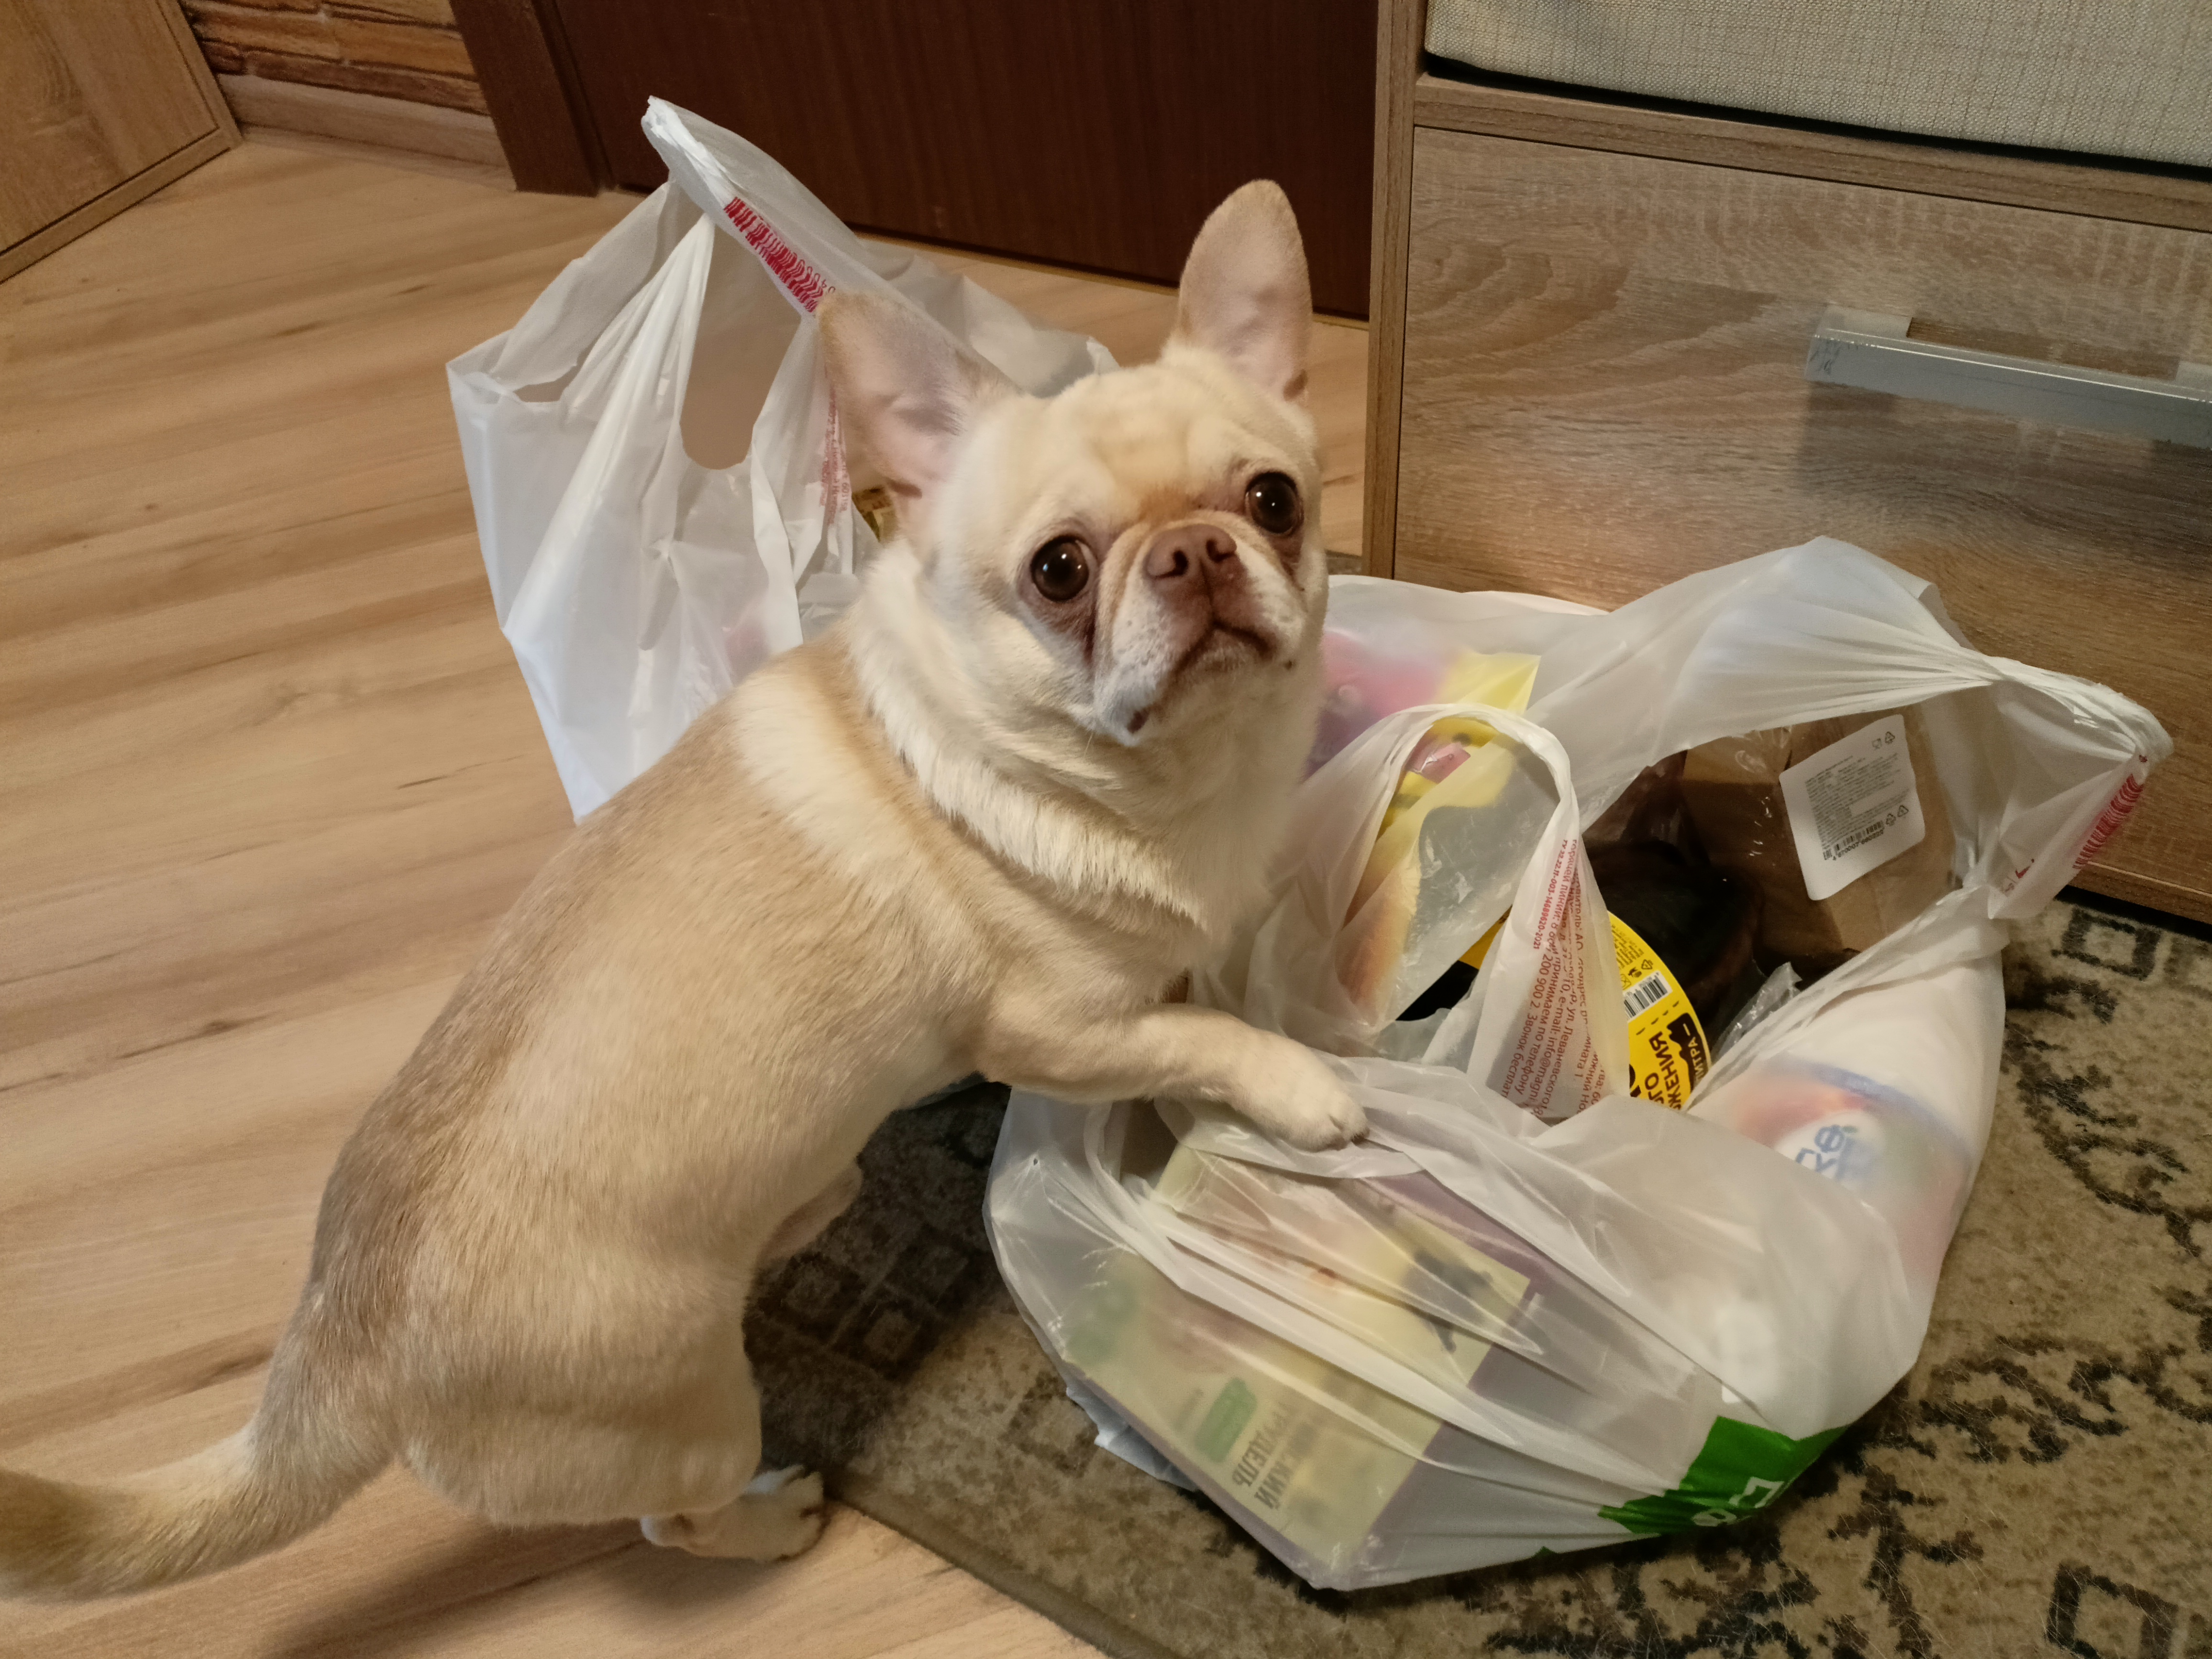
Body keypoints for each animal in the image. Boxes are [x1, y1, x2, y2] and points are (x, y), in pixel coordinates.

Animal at [0, 179, 1366, 1598]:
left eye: (1275, 499)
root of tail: (342, 1352)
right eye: (1058, 570)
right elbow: (1195, 1032)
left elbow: (1193, 987)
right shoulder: (1057, 1032)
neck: (1163, 770)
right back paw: (776, 1514)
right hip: (697, 1412)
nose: (1195, 551)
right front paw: (1300, 1086)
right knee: (678, 1519)